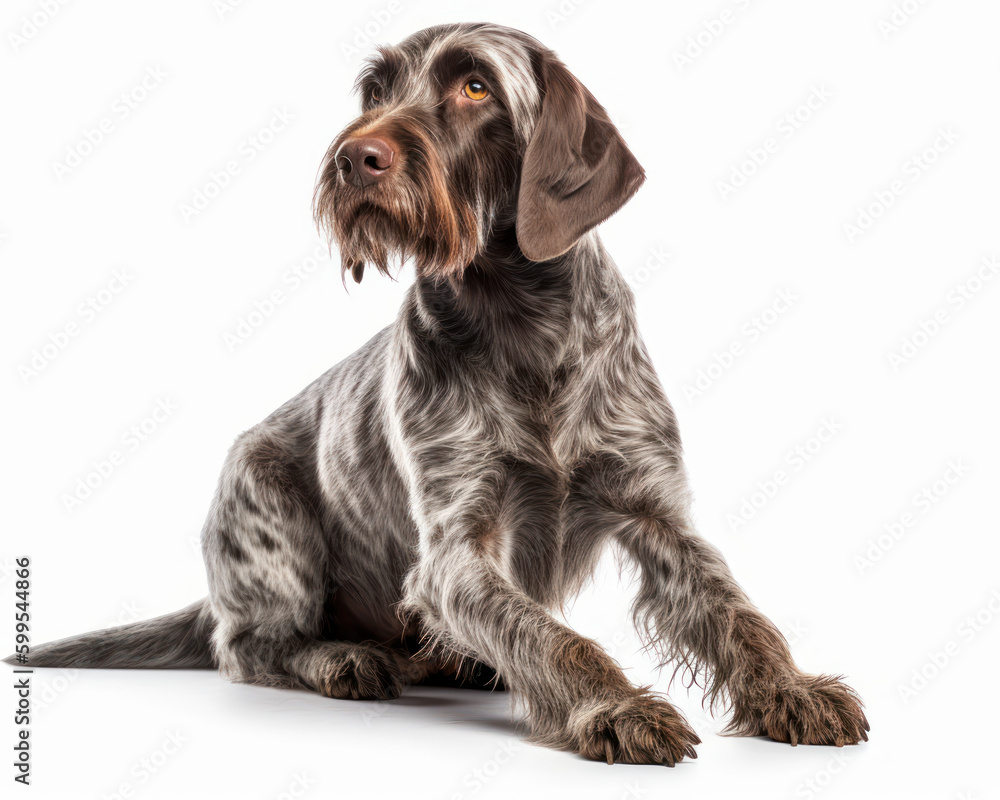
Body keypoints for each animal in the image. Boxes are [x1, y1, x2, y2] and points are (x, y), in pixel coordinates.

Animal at [9, 21, 868, 764]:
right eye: (374, 90)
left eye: (475, 86)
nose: (354, 158)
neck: (522, 323)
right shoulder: (455, 551)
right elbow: (554, 637)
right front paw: (618, 707)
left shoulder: (657, 510)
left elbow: (738, 614)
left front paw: (794, 689)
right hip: (270, 515)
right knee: (250, 647)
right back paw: (345, 660)